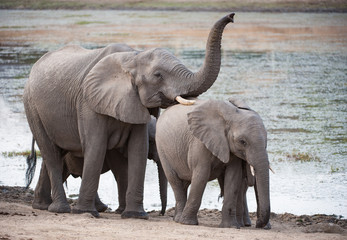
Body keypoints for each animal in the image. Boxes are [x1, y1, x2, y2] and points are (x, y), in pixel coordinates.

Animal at [23, 13, 235, 219]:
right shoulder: (87, 102)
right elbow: (96, 146)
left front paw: (135, 215)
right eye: (158, 75)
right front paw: (86, 213)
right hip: (31, 106)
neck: (133, 57)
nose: (231, 17)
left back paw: (42, 206)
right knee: (50, 154)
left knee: (55, 155)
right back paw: (62, 209)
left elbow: (138, 149)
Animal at [156, 98, 272, 229]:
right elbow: (201, 174)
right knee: (175, 182)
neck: (231, 114)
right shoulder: (200, 141)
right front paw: (187, 223)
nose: (258, 224)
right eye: (242, 141)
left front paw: (230, 226)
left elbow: (233, 177)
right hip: (163, 150)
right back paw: (179, 220)